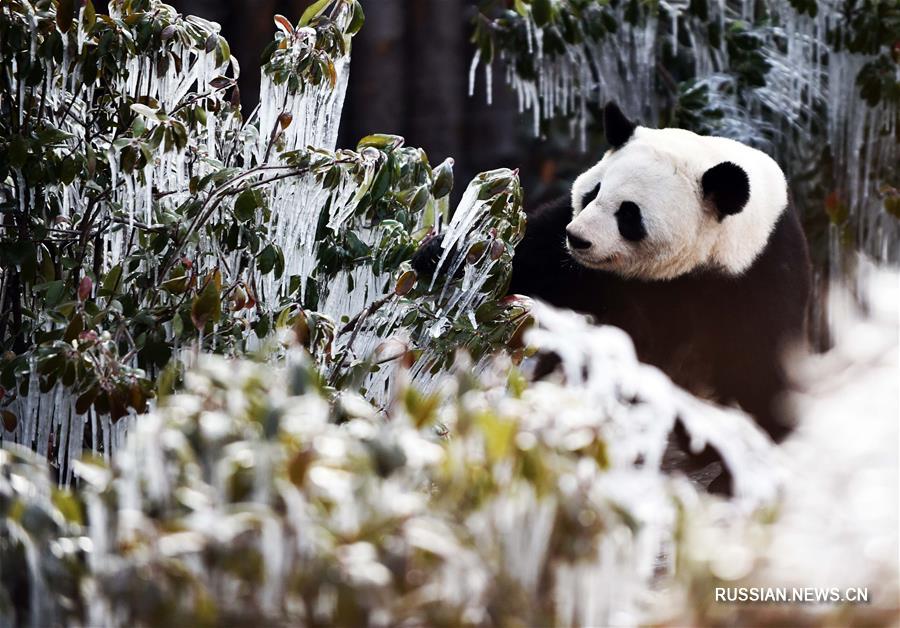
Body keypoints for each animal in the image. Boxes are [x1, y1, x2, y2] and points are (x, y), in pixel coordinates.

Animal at [510, 102, 812, 442]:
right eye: (594, 192)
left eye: (629, 214)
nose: (577, 238)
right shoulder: (563, 252)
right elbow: (533, 261)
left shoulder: (759, 274)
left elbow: (761, 368)